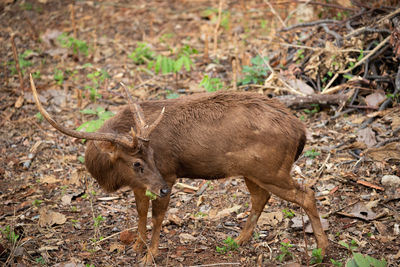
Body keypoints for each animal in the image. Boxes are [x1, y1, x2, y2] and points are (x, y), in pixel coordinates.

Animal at [28, 74, 328, 266]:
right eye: (137, 162)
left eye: (153, 155)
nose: (161, 188)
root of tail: (301, 131)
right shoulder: (142, 183)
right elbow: (140, 212)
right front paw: (136, 246)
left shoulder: (169, 174)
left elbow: (158, 217)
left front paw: (150, 255)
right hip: (252, 171)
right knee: (261, 197)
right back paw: (238, 241)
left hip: (271, 168)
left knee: (306, 193)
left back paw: (322, 250)